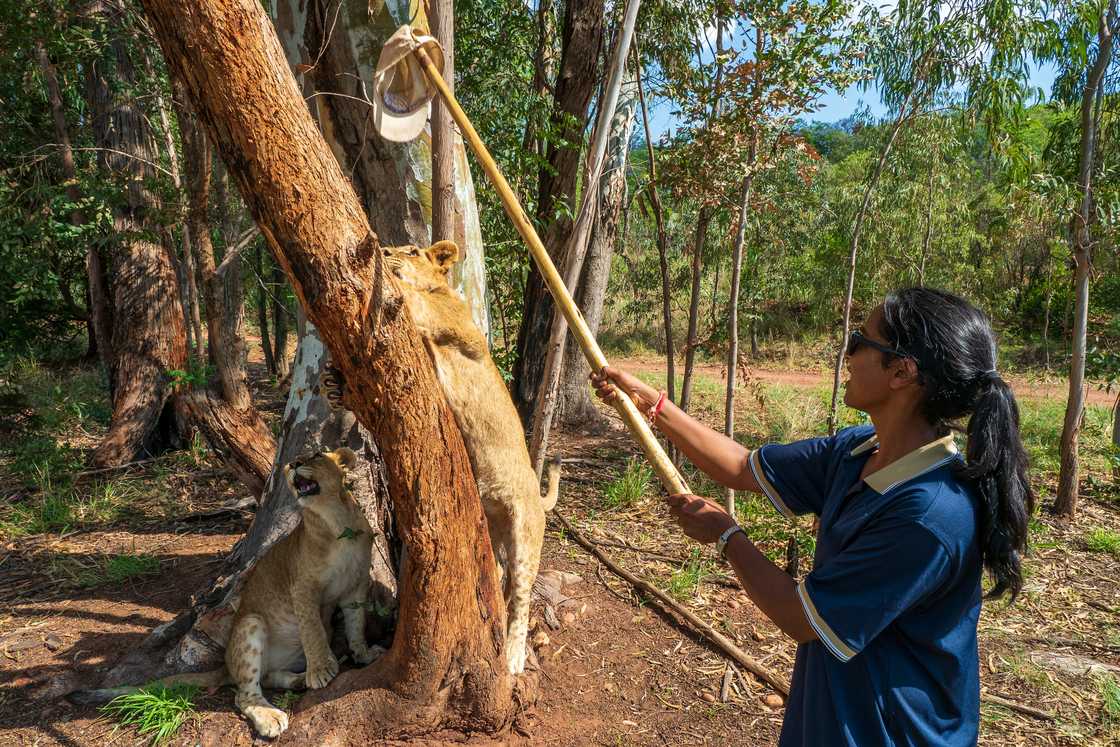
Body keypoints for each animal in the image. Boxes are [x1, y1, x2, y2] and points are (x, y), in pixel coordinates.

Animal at [75, 448, 381, 738]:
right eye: (293, 460)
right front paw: (320, 671)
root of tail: (226, 665)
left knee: (266, 677)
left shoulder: (356, 586)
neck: (335, 522)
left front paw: (364, 654)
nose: (293, 464)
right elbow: (312, 631)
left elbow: (356, 625)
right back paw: (273, 714)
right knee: (243, 694)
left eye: (315, 455)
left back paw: (297, 680)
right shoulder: (302, 588)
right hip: (250, 624)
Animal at [325, 241, 560, 675]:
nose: (384, 249)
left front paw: (392, 277)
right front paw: (332, 381)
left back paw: (514, 654)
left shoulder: (458, 327)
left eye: (413, 250)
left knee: (521, 595)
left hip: (525, 533)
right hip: (491, 525)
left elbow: (413, 301)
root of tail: (536, 498)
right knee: (498, 575)